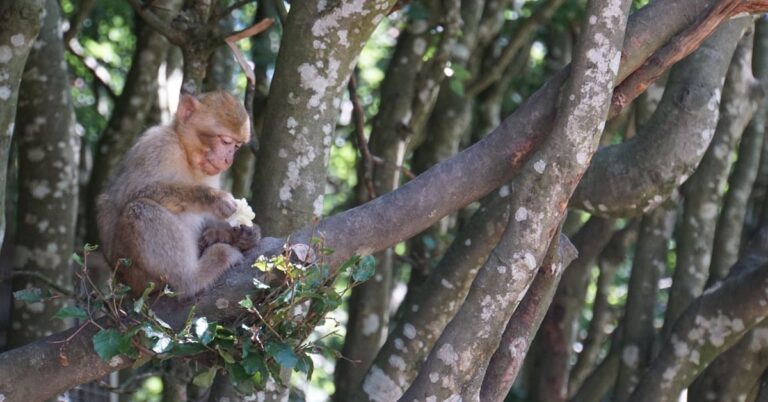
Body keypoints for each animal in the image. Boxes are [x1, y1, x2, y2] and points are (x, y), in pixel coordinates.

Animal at [96, 90, 260, 296]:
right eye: (225, 141)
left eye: (237, 146)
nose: (228, 159)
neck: (185, 153)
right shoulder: (157, 146)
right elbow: (130, 193)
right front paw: (213, 198)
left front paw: (237, 233)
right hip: (135, 273)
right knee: (140, 208)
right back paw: (192, 278)